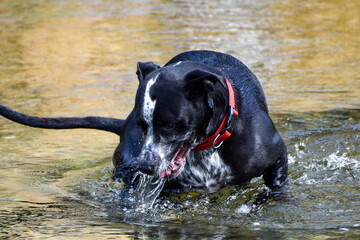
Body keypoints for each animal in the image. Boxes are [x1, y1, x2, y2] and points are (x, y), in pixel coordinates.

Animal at [0, 50, 286, 193]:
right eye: (142, 124)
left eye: (169, 125)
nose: (145, 166)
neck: (209, 145)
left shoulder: (278, 157)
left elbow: (274, 191)